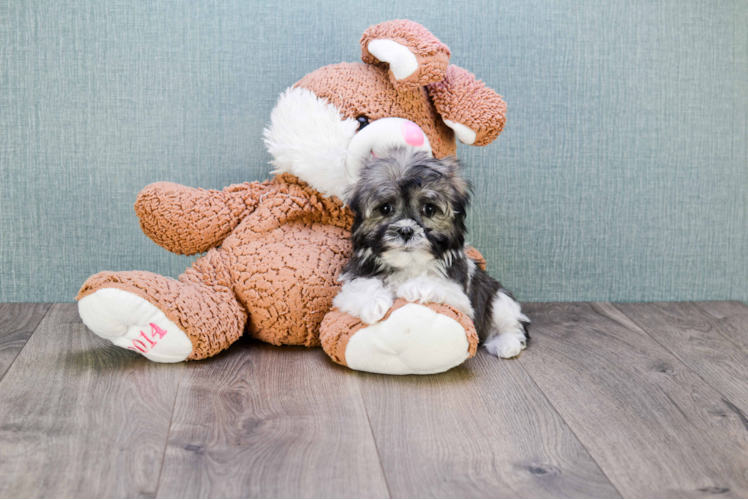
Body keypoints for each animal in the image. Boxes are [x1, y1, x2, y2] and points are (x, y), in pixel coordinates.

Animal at [336, 146, 528, 358]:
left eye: (429, 209)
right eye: (385, 208)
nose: (406, 230)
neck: (408, 263)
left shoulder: (460, 297)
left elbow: (437, 283)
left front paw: (411, 287)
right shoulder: (351, 281)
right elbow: (360, 287)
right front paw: (373, 303)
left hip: (500, 300)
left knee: (511, 323)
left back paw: (507, 343)